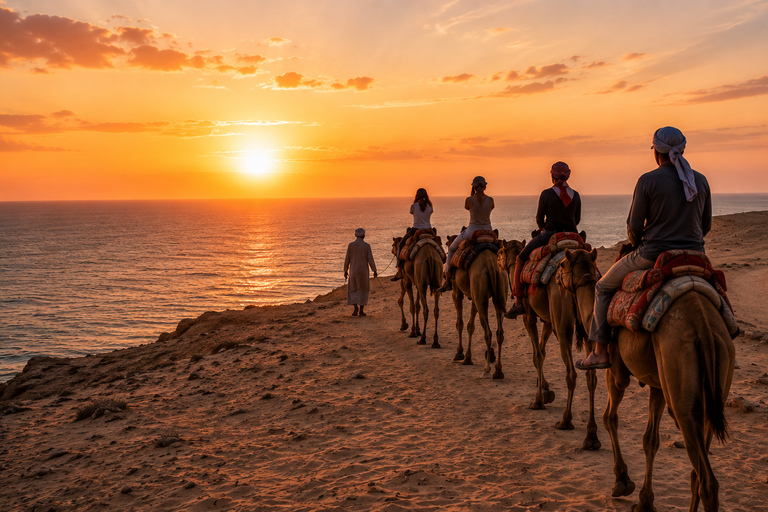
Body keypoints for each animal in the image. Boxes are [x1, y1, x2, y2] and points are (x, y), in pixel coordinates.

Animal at [446, 234, 508, 379]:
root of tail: (491, 263)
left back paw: (486, 369)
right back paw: (498, 371)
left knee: (488, 332)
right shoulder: (474, 296)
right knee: (499, 332)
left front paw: (459, 354)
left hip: (480, 293)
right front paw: (467, 358)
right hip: (499, 291)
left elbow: (460, 323)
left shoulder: (457, 292)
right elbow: (470, 325)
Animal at [499, 240, 602, 450]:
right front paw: (546, 389)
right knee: (591, 377)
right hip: (583, 326)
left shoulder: (529, 316)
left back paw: (565, 421)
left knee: (571, 373)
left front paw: (538, 399)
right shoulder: (548, 320)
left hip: (562, 325)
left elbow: (537, 356)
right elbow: (542, 351)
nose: (497, 259)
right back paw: (591, 436)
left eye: (501, 252)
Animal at [562, 261, 736, 511]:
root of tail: (703, 325)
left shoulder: (616, 372)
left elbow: (609, 418)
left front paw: (622, 481)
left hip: (680, 383)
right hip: (718, 376)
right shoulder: (658, 386)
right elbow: (650, 439)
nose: (557, 279)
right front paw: (645, 501)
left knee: (707, 481)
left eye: (562, 266)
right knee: (697, 472)